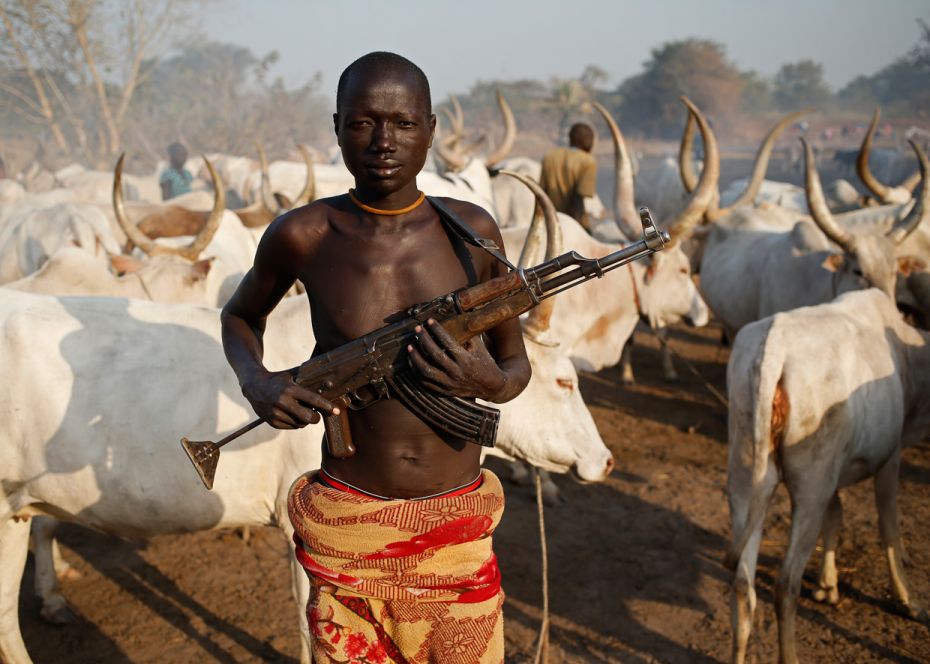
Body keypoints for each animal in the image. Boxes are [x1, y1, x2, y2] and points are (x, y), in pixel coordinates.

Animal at [724, 290, 928, 664]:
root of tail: (773, 348)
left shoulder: (835, 470)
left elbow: (837, 514)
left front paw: (828, 586)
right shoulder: (889, 455)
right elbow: (888, 525)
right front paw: (909, 601)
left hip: (746, 476)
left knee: (744, 585)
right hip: (810, 485)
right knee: (785, 584)